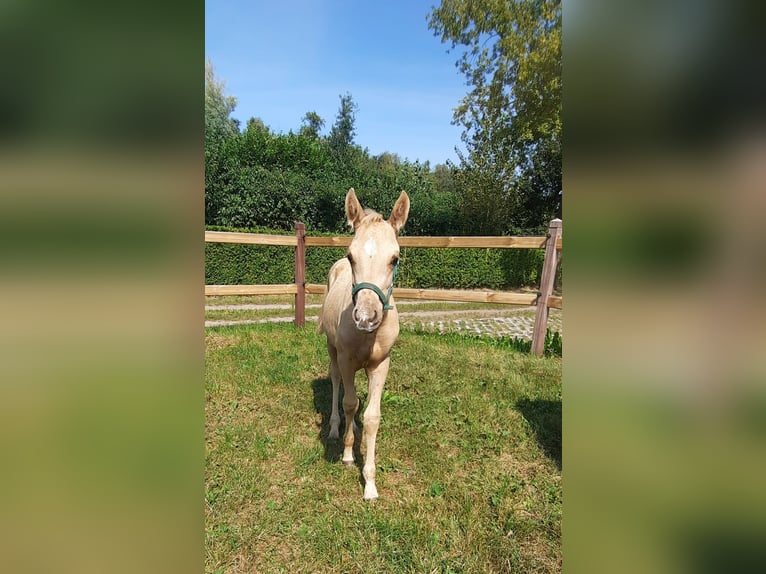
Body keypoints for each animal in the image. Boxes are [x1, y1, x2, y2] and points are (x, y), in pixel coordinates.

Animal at [318, 188, 412, 500]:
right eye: (351, 256)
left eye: (395, 259)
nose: (366, 318)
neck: (368, 336)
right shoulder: (346, 359)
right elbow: (349, 402)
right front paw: (348, 454)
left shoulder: (381, 364)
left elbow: (372, 416)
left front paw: (370, 484)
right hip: (332, 351)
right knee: (337, 383)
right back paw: (337, 429)